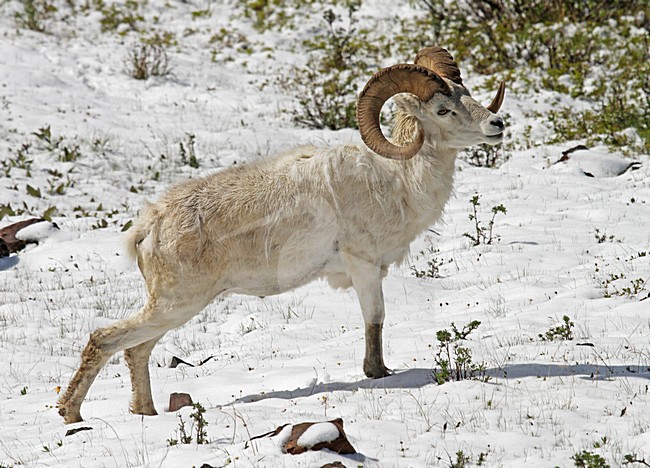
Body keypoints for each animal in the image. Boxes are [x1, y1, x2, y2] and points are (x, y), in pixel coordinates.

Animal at [58, 46, 506, 424]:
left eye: (466, 94)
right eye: (444, 110)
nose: (497, 125)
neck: (397, 179)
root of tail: (150, 225)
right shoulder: (363, 267)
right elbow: (375, 320)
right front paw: (378, 374)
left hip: (172, 310)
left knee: (136, 351)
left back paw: (145, 414)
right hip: (175, 305)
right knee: (106, 340)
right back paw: (71, 415)